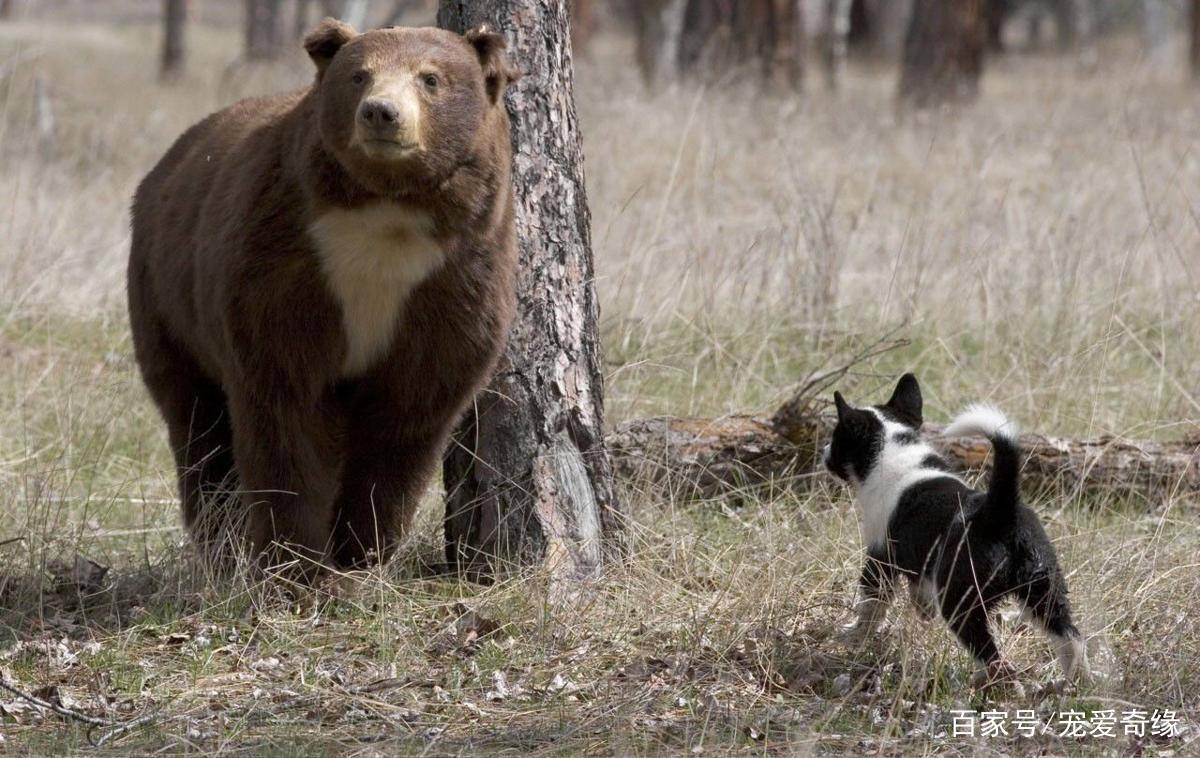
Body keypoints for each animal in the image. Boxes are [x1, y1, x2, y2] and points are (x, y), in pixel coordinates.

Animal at [127, 19, 520, 573]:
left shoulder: (454, 280)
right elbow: (286, 406)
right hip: (167, 305)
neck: (388, 214)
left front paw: (359, 550)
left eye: (430, 79)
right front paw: (296, 561)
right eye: (359, 75)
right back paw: (220, 543)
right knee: (197, 424)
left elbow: (407, 416)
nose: (381, 113)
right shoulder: (285, 262)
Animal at [825, 374, 1089, 686]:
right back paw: (1076, 684)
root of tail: (998, 511)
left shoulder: (879, 559)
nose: (824, 454)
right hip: (1045, 588)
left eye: (835, 439)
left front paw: (853, 635)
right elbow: (918, 594)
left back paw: (992, 684)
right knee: (1070, 637)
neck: (892, 447)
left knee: (992, 656)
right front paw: (922, 616)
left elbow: (870, 605)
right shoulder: (920, 566)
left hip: (961, 603)